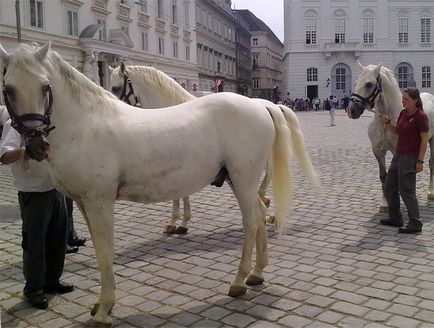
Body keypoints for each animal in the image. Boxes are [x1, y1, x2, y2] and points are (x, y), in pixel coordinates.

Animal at [0, 42, 296, 324]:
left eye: (45, 86)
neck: (86, 125)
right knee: (260, 213)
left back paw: (238, 282)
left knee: (252, 222)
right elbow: (98, 249)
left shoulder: (99, 202)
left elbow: (105, 252)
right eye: (8, 89)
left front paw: (104, 310)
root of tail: (260, 105)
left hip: (244, 181)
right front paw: (101, 304)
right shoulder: (84, 203)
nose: (36, 145)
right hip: (239, 181)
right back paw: (256, 273)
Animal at [108, 62, 318, 233]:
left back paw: (267, 207)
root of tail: (268, 106)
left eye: (115, 87)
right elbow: (180, 193)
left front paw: (179, 222)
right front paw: (179, 222)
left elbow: (179, 195)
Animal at [348, 62, 434, 209]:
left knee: (431, 163)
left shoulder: (396, 151)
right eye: (355, 82)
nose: (351, 110)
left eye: (369, 84)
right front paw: (385, 204)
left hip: (433, 140)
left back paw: (430, 193)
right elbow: (384, 176)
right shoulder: (378, 151)